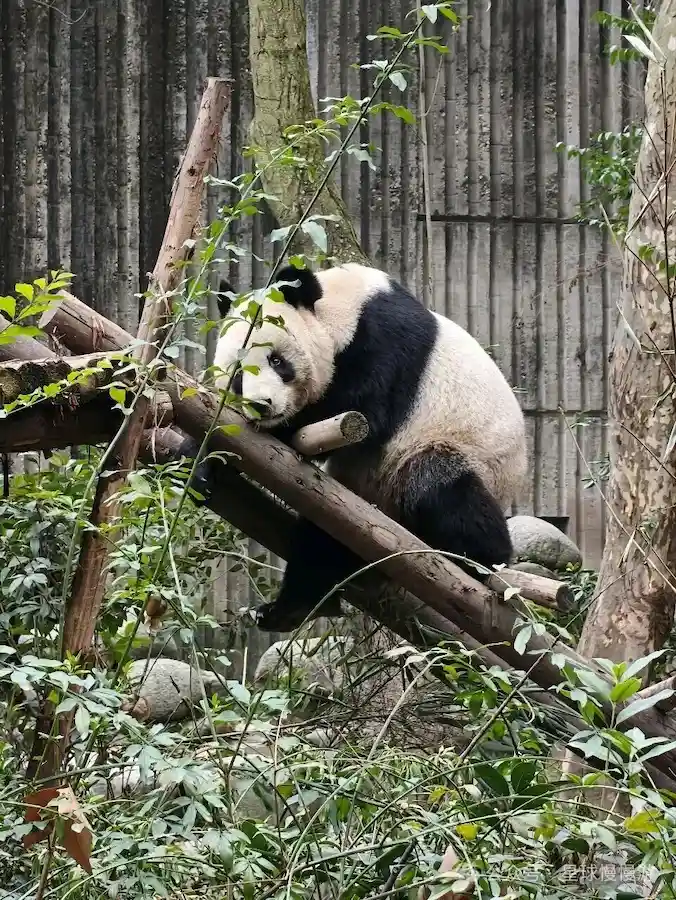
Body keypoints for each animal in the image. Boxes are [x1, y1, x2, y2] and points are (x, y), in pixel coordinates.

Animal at [186, 262, 527, 632]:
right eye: (237, 374)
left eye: (276, 361)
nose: (261, 406)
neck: (341, 308)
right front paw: (202, 462)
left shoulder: (385, 341)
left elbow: (359, 410)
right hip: (358, 500)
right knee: (324, 531)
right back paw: (293, 608)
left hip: (468, 456)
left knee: (438, 480)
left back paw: (481, 558)